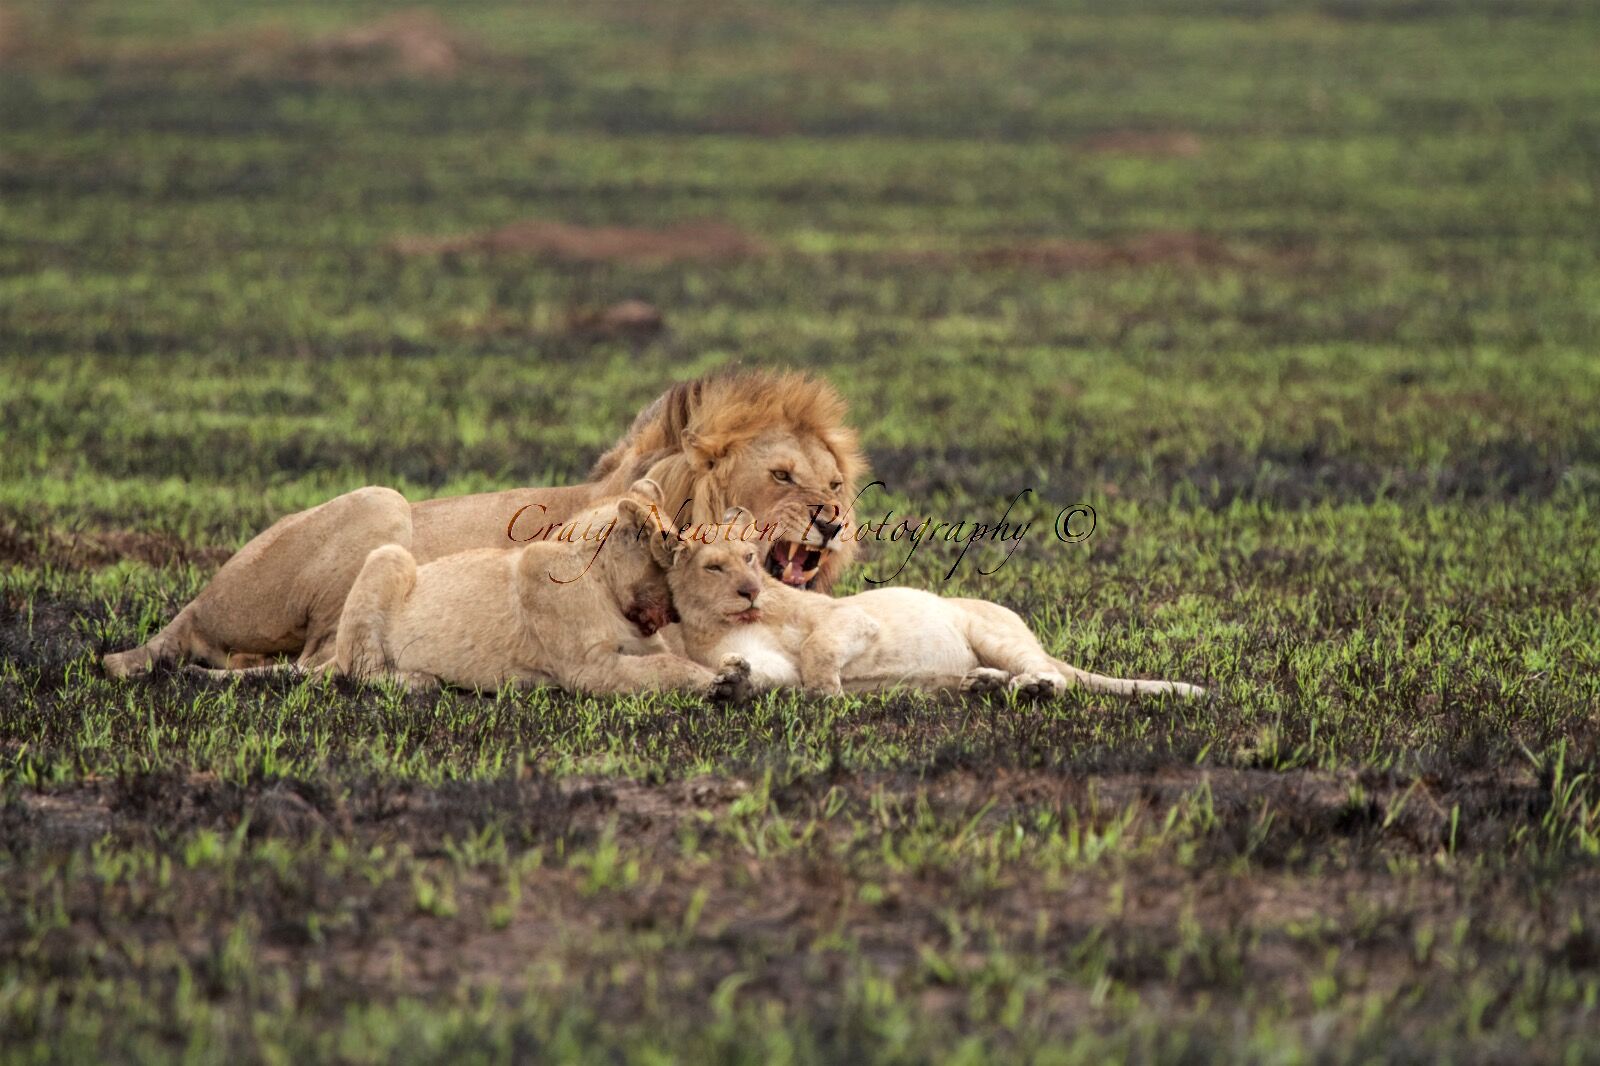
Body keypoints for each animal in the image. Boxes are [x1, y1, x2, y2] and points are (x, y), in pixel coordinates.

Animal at [103, 369, 866, 678]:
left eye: (833, 484)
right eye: (781, 477)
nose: (831, 522)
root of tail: (199, 598)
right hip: (381, 502)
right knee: (316, 656)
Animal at [663, 537, 1207, 699]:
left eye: (749, 559)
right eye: (714, 567)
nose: (751, 592)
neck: (734, 621)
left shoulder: (852, 618)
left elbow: (820, 648)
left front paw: (828, 694)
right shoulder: (775, 665)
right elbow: (759, 670)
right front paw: (730, 682)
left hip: (991, 629)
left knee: (1053, 674)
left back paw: (1030, 687)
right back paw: (982, 683)